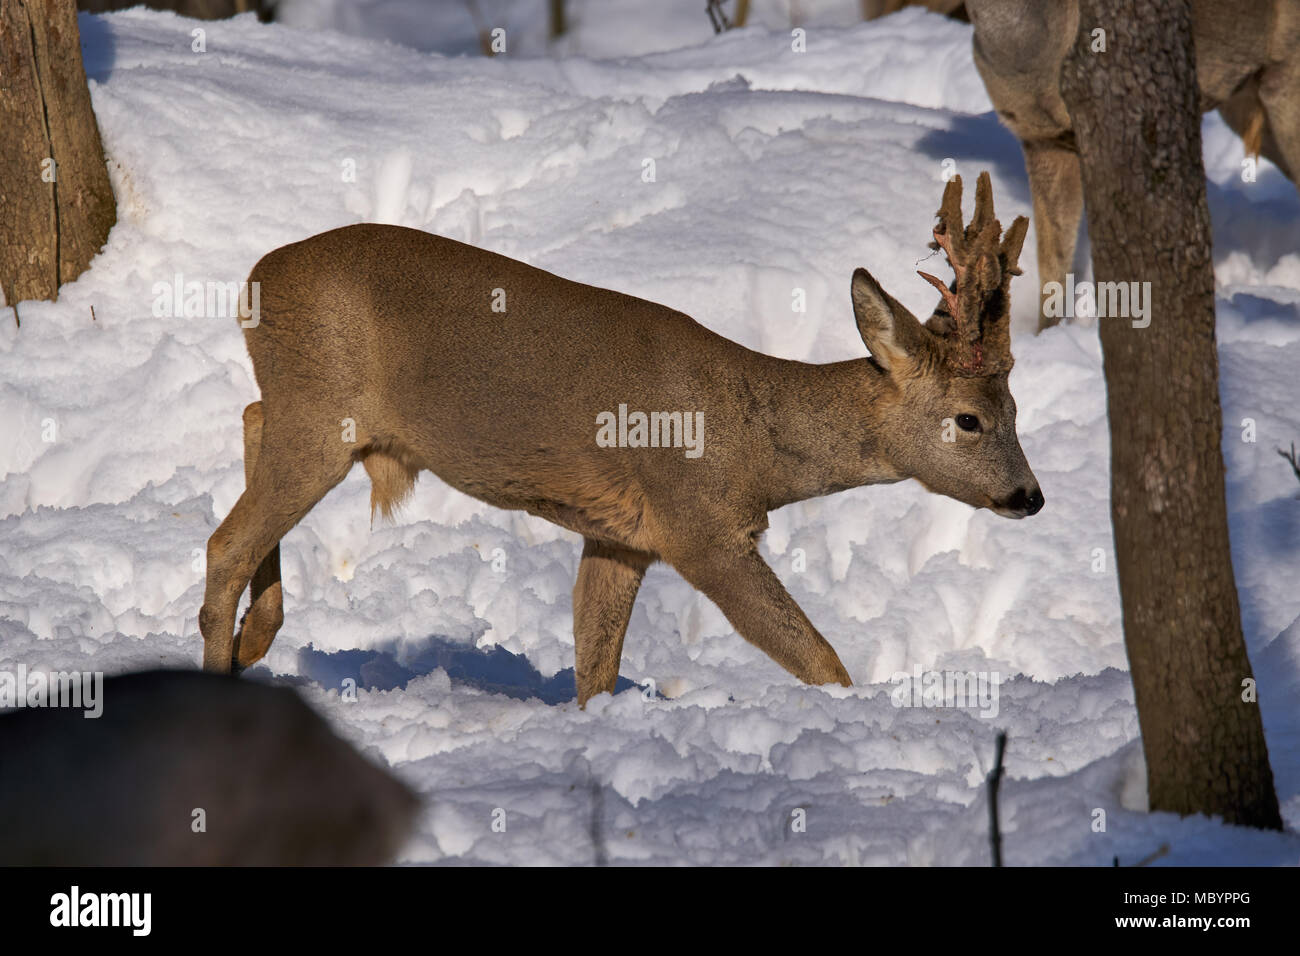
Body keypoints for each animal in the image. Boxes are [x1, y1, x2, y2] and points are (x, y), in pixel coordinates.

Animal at [199, 172, 1042, 707]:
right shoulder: (700, 527)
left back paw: (254, 641)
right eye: (969, 417)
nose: (1030, 495)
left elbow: (594, 666)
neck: (756, 445)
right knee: (226, 539)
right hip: (322, 412)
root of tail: (252, 280)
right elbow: (815, 653)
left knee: (249, 424)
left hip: (312, 413)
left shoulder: (620, 538)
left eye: (1016, 406)